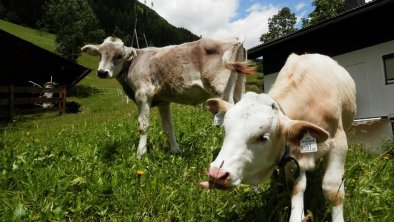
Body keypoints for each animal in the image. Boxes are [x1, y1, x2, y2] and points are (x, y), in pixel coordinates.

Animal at [82, 36, 255, 158]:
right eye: (100, 54)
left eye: (118, 55)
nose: (102, 72)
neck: (133, 63)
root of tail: (235, 39)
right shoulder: (163, 101)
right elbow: (168, 127)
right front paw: (175, 151)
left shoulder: (143, 93)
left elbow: (143, 125)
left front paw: (141, 154)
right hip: (238, 87)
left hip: (221, 88)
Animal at [202, 53, 356, 222]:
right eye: (226, 130)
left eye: (263, 137)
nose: (216, 174)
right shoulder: (293, 154)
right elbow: (296, 186)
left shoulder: (339, 144)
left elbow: (333, 190)